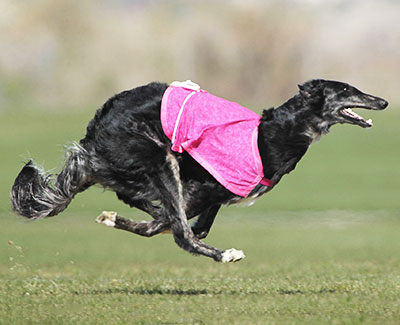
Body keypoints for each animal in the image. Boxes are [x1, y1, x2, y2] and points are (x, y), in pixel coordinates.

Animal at [10, 79, 388, 262]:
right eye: (346, 90)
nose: (383, 101)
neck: (276, 131)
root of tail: (93, 135)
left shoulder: (216, 193)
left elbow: (181, 225)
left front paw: (122, 221)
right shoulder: (203, 187)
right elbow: (181, 228)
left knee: (139, 201)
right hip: (159, 158)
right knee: (178, 230)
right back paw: (225, 256)